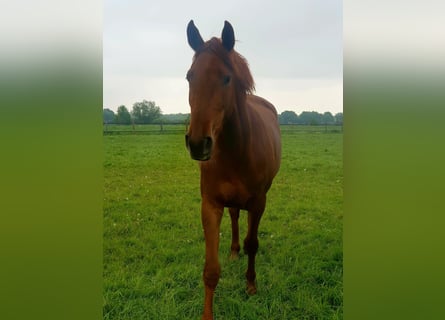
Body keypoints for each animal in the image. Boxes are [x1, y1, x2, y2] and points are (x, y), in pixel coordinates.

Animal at [185, 20, 280, 320]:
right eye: (189, 76)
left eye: (226, 78)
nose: (197, 143)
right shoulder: (210, 205)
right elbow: (211, 270)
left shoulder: (259, 202)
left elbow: (253, 243)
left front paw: (251, 285)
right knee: (236, 216)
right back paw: (233, 251)